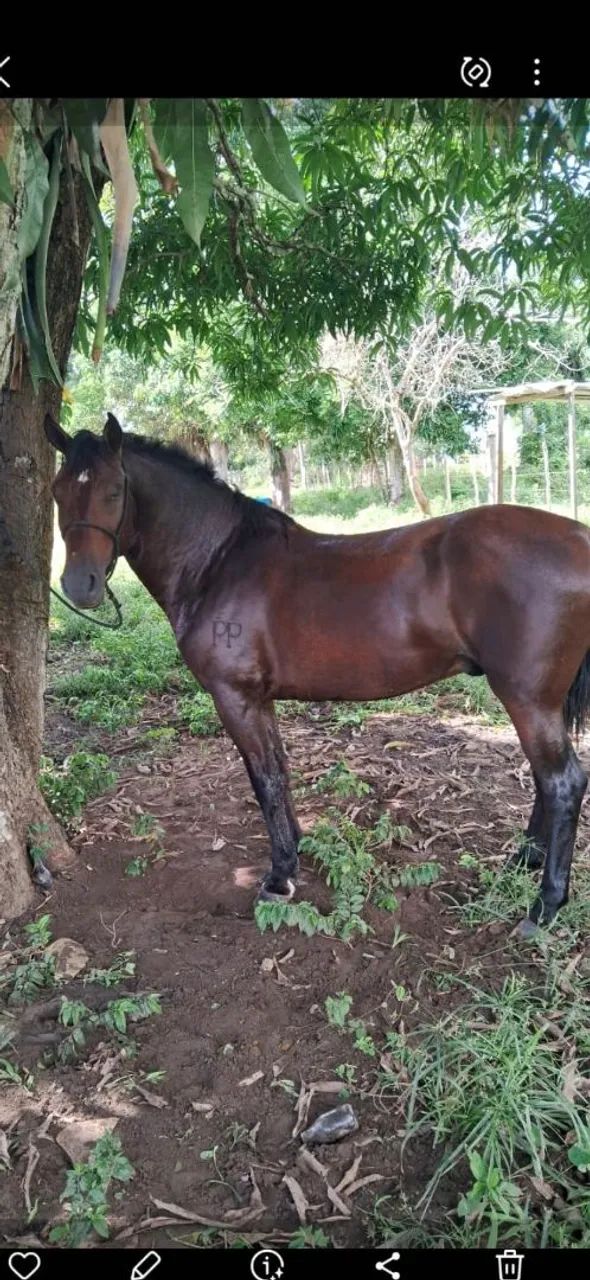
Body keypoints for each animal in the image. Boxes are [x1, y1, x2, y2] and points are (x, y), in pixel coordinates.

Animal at [45, 413, 590, 938]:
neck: (219, 562)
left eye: (114, 490)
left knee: (562, 781)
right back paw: (524, 859)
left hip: (527, 699)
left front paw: (279, 877)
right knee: (544, 779)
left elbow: (264, 780)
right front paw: (295, 851)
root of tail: (579, 538)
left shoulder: (235, 697)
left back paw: (544, 905)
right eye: (57, 491)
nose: (79, 585)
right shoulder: (258, 699)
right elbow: (280, 773)